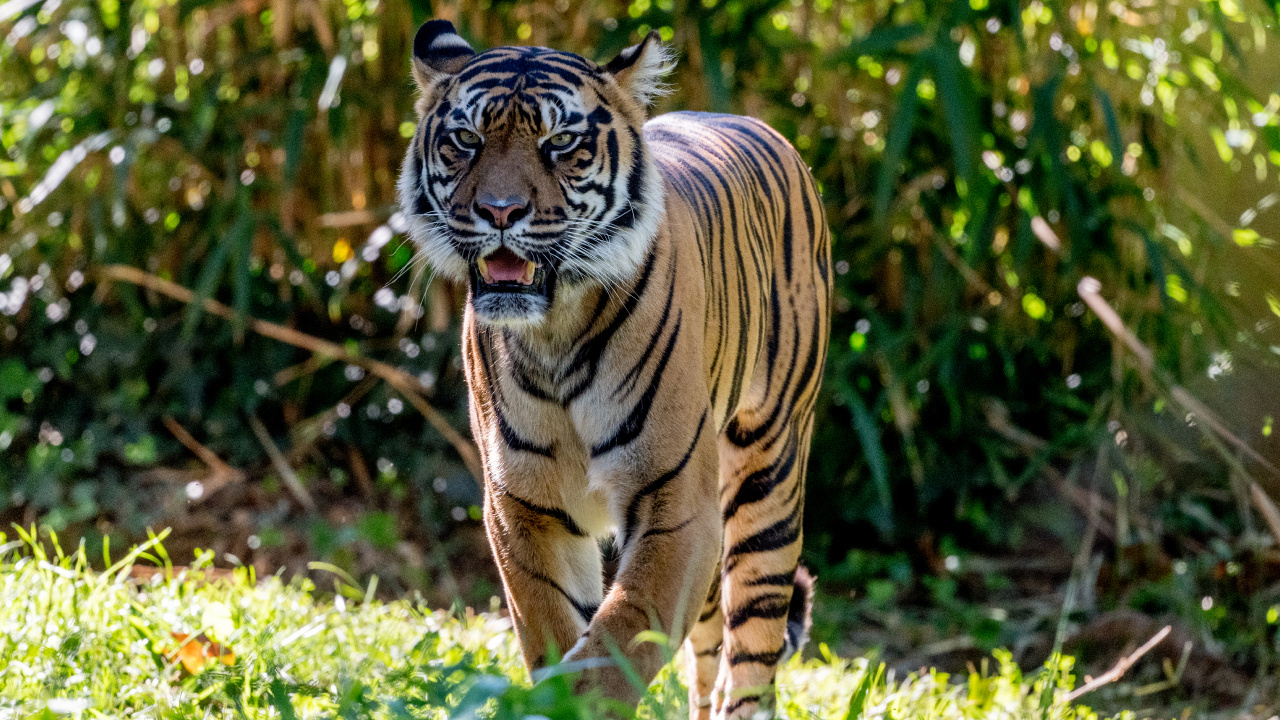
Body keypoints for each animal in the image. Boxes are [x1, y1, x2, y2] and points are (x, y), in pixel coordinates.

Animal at [397, 19, 831, 719]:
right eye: (466, 140)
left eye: (560, 143)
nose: (499, 211)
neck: (555, 333)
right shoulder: (524, 507)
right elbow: (555, 631)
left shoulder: (677, 508)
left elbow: (619, 640)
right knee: (707, 654)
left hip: (768, 473)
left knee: (752, 653)